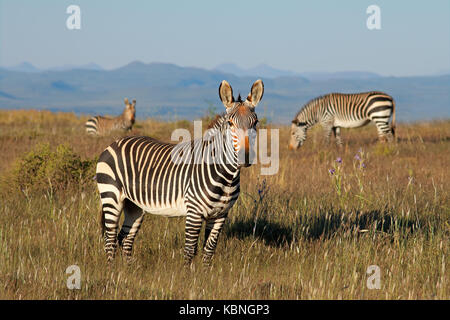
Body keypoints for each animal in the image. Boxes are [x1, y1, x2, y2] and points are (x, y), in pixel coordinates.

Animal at [95, 79, 264, 264]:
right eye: (230, 124)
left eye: (255, 122)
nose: (244, 157)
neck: (227, 177)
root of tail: (115, 143)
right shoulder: (194, 212)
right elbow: (190, 251)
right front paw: (187, 272)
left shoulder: (220, 215)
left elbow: (209, 251)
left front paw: (206, 271)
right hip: (111, 196)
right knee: (110, 239)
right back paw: (112, 270)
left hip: (134, 205)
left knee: (124, 238)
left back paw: (127, 269)